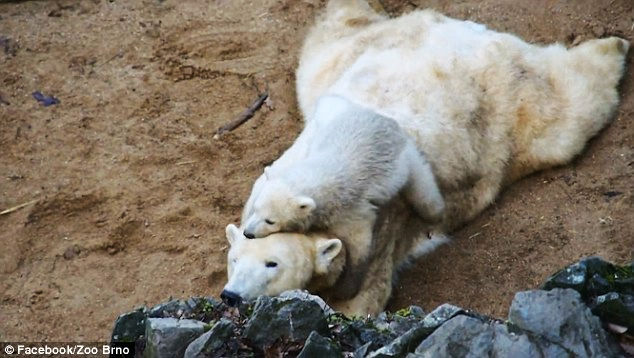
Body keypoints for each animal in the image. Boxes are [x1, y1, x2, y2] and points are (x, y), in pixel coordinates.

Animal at [222, 0, 628, 314]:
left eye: (272, 264)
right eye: (234, 259)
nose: (231, 295)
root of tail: (461, 30)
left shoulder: (375, 238)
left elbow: (361, 299)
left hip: (515, 103)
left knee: (570, 108)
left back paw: (614, 46)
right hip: (341, 62)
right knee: (332, 36)